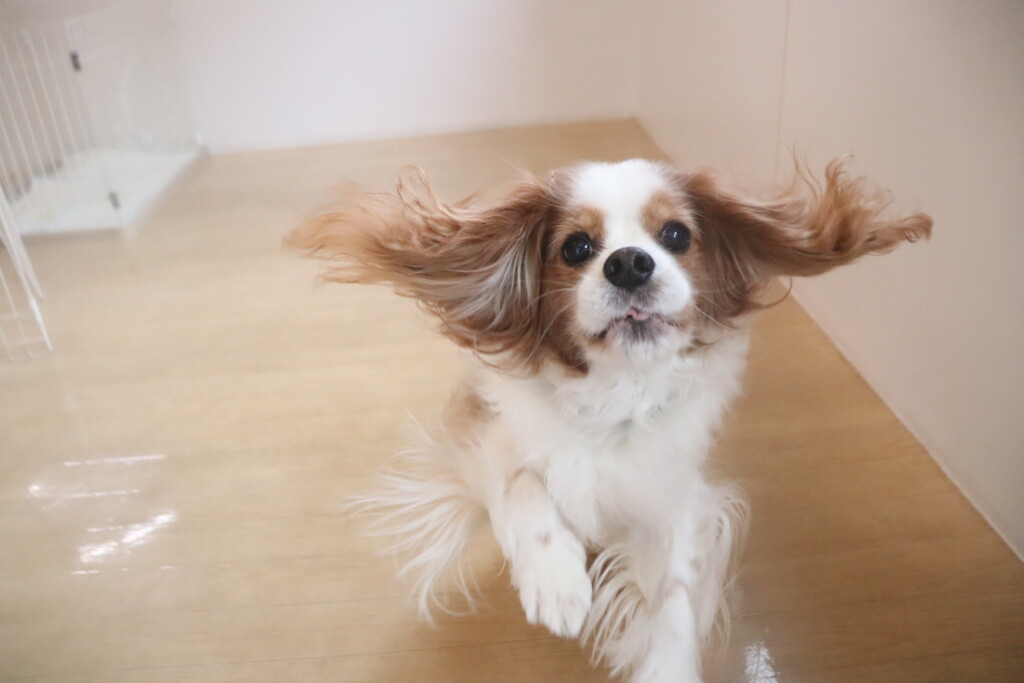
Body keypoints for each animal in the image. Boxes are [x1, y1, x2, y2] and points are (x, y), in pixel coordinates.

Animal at [288, 158, 930, 682]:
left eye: (676, 235)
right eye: (576, 247)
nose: (628, 263)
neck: (615, 391)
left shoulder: (675, 494)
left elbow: (675, 593)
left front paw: (668, 666)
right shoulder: (481, 436)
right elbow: (523, 484)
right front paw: (554, 578)